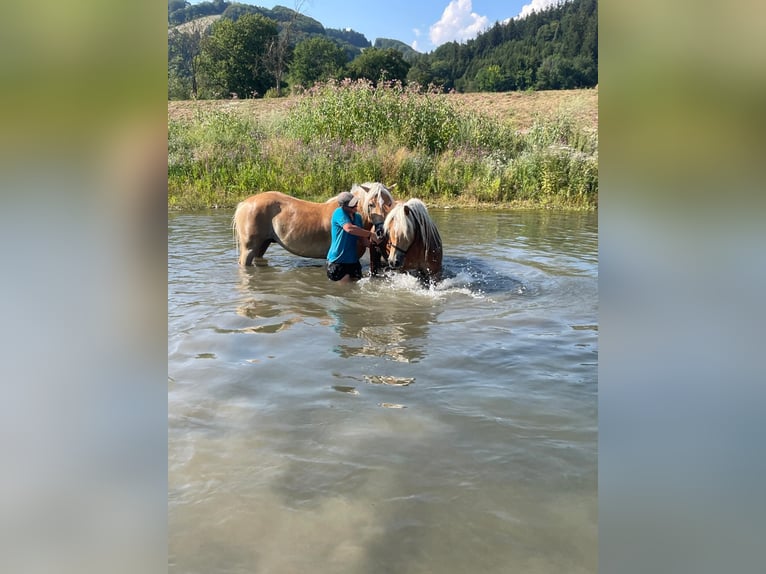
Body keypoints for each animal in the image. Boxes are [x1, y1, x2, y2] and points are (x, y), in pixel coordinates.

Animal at [232, 182, 395, 266]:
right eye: (371, 204)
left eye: (389, 203)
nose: (380, 232)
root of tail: (243, 204)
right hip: (249, 249)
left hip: (262, 246)